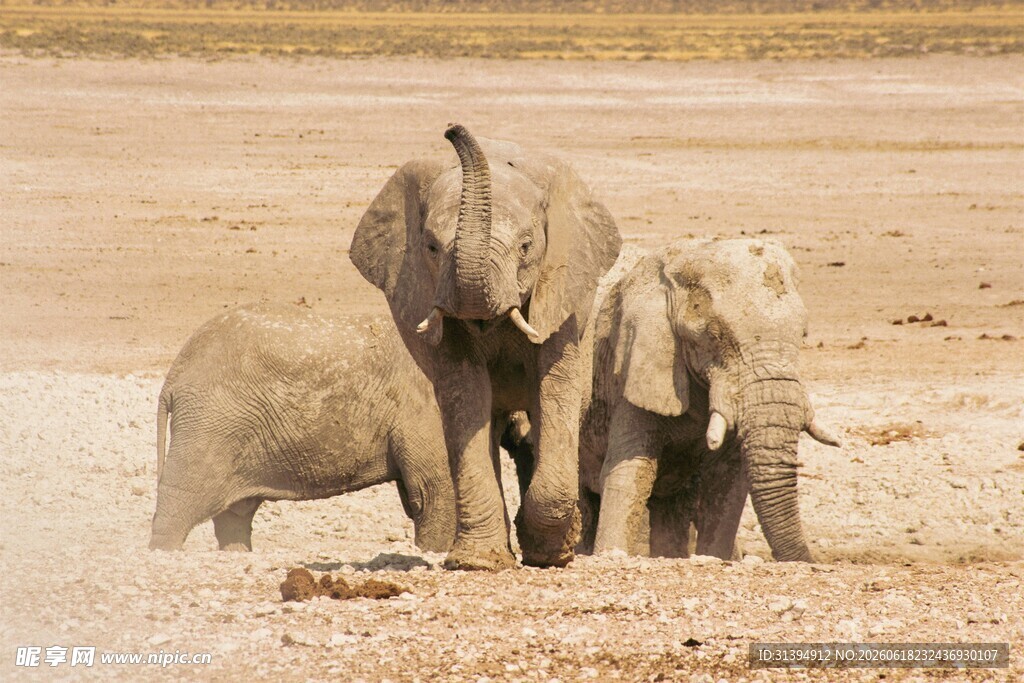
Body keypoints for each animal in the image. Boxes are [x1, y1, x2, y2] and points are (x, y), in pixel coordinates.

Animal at [148, 303, 456, 553]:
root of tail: (174, 375)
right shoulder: (422, 407)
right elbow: (433, 492)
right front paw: (433, 553)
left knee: (234, 513)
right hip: (212, 420)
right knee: (183, 499)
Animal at [350, 124, 621, 570]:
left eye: (527, 246)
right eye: (430, 247)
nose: (452, 130)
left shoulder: (562, 296)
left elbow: (555, 388)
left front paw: (551, 555)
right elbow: (465, 394)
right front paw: (478, 562)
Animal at [577, 238, 841, 562]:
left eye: (803, 334)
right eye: (714, 336)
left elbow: (727, 484)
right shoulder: (631, 365)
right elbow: (630, 474)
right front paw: (610, 554)